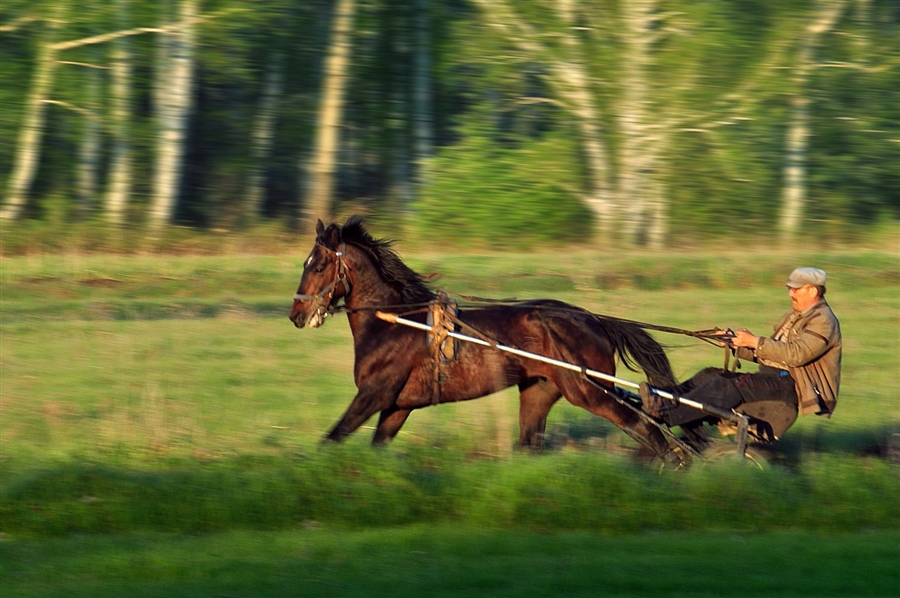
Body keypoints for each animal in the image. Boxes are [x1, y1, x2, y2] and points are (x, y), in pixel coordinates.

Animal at [292, 219, 680, 460]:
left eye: (318, 266)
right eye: (305, 263)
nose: (296, 314)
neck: (394, 322)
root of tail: (592, 318)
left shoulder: (375, 394)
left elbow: (333, 438)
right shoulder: (397, 406)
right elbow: (375, 444)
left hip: (588, 391)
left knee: (643, 425)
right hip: (539, 390)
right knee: (529, 445)